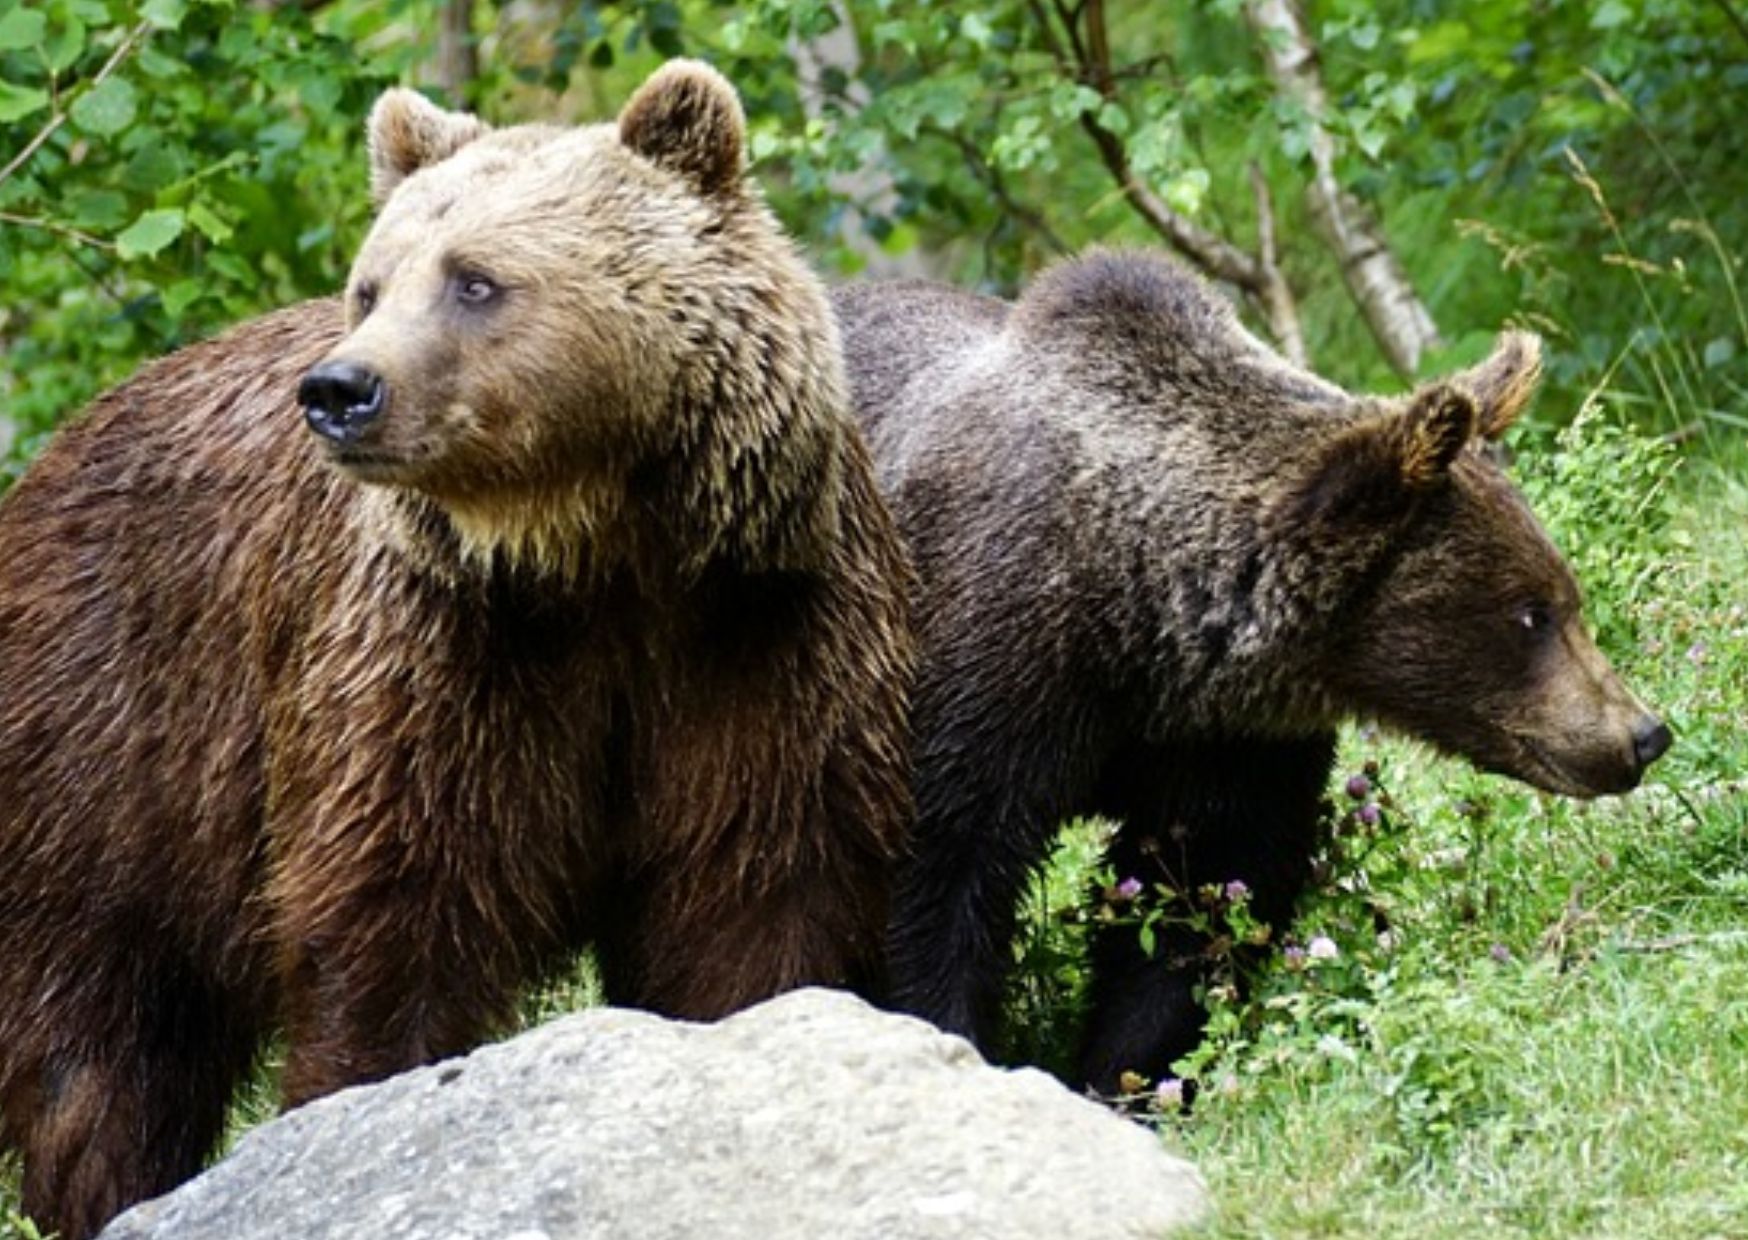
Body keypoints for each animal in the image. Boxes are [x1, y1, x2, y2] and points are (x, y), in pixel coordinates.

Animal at [0, 62, 912, 1240]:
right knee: (98, 1042)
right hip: (104, 739)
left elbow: (758, 892)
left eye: (474, 280)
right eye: (370, 285)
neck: (593, 554)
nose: (338, 390)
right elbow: (398, 915)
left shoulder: (758, 635)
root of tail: (47, 463)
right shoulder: (438, 657)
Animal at [832, 251, 1670, 1095]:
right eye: (1532, 612)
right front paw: (950, 1037)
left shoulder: (1228, 740)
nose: (1643, 733)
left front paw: (1134, 1075)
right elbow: (936, 880)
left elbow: (1200, 902)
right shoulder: (986, 672)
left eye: (1564, 595)